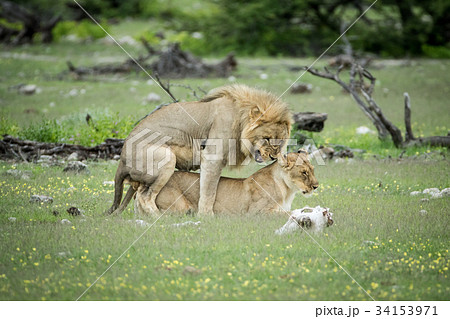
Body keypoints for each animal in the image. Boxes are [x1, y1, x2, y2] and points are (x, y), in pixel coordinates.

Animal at [107, 84, 294, 218]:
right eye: (267, 138)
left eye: (280, 142)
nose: (272, 157)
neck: (240, 118)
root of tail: (122, 159)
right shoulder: (212, 157)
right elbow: (209, 190)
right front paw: (206, 216)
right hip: (167, 156)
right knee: (145, 196)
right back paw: (160, 217)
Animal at [131, 151, 320, 216]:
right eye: (304, 172)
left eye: (312, 169)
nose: (316, 186)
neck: (288, 190)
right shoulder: (256, 213)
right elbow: (288, 214)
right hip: (179, 207)